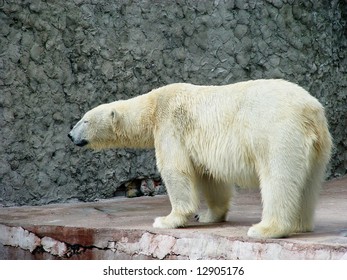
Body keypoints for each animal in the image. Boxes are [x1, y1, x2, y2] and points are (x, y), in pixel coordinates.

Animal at [68, 79, 332, 238]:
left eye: (85, 120)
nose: (70, 135)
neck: (153, 106)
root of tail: (311, 110)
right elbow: (211, 177)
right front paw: (208, 215)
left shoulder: (170, 124)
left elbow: (175, 170)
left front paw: (167, 219)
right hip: (319, 145)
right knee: (309, 183)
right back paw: (299, 224)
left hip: (277, 132)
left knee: (278, 178)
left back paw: (265, 228)